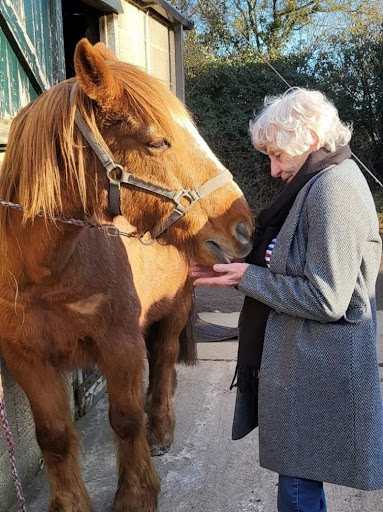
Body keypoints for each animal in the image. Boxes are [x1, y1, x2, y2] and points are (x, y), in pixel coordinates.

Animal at [0, 41, 252, 512]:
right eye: (157, 142)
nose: (243, 230)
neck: (45, 274)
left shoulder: (120, 342)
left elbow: (127, 419)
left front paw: (136, 494)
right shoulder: (25, 356)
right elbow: (54, 437)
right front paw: (70, 504)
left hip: (175, 311)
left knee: (165, 360)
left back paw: (162, 429)